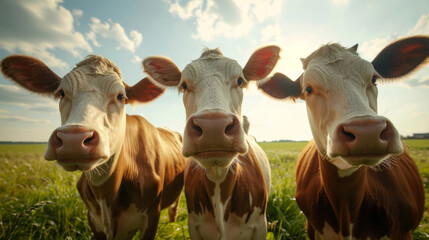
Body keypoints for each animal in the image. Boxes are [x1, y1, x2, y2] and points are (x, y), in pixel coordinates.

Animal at [0, 54, 186, 240]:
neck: (107, 196)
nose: (73, 139)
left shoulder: (152, 215)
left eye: (121, 96)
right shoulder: (94, 221)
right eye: (61, 93)